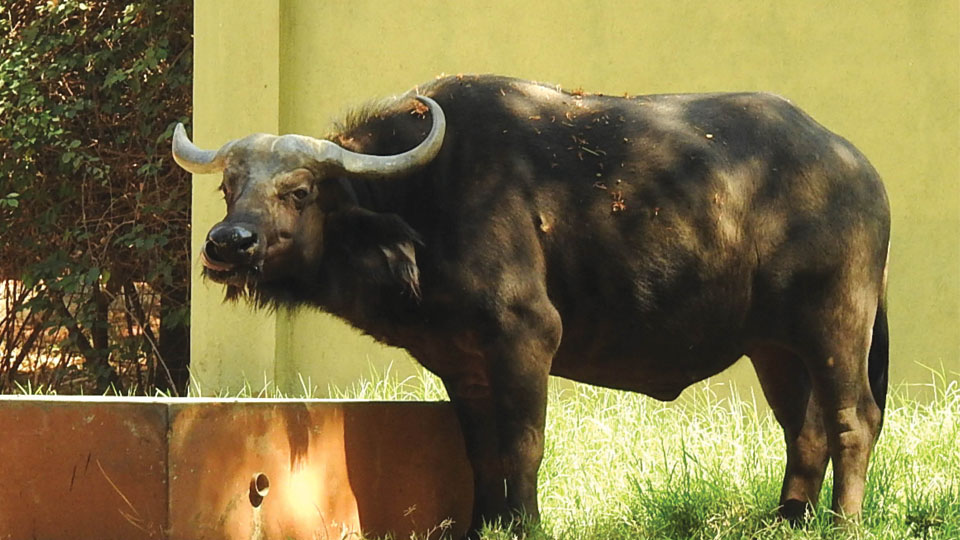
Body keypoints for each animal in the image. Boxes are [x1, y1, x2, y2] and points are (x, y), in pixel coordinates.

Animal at [173, 75, 890, 535]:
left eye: (298, 191)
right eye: (230, 187)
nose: (226, 244)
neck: (428, 200)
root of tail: (857, 169)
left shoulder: (525, 336)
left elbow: (523, 443)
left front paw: (524, 522)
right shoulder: (460, 362)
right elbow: (483, 450)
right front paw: (486, 521)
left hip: (837, 323)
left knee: (854, 418)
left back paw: (843, 521)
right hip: (774, 345)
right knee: (804, 427)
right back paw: (789, 518)